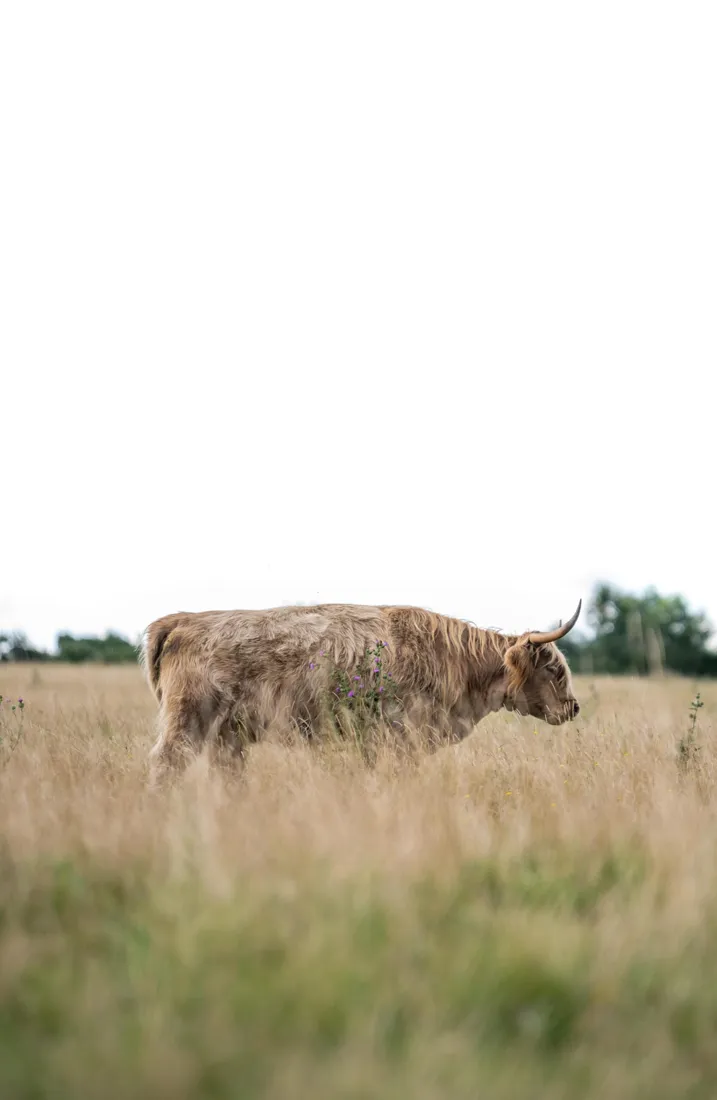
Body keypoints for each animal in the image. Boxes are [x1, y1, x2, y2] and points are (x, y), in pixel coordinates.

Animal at [141, 600, 581, 780]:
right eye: (554, 670)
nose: (574, 707)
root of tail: (181, 620)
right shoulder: (402, 735)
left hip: (226, 734)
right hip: (188, 720)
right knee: (164, 765)